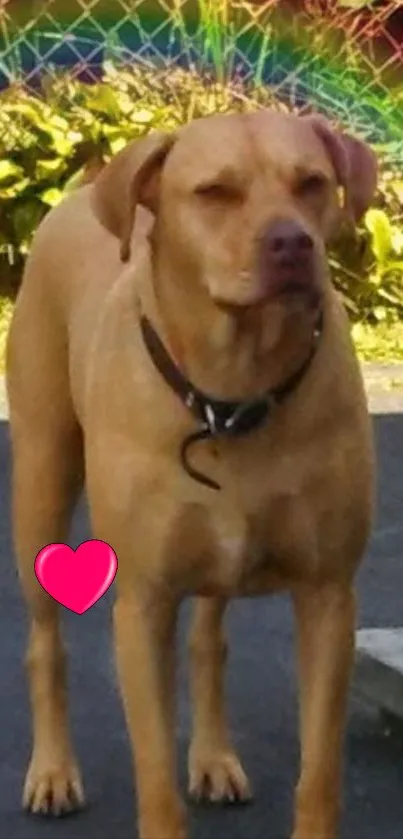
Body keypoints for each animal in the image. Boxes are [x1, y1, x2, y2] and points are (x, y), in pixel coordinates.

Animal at [5, 108, 378, 836]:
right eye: (214, 193)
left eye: (311, 183)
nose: (292, 244)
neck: (233, 387)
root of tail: (84, 191)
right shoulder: (142, 603)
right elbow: (154, 774)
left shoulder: (328, 596)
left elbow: (319, 772)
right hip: (40, 485)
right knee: (44, 644)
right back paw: (54, 771)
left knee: (209, 640)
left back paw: (212, 756)